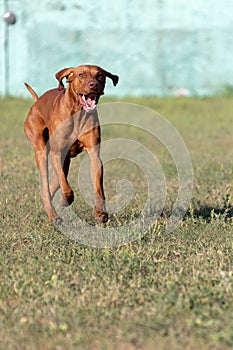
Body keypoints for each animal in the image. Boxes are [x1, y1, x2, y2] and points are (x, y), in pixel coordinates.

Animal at [24, 65, 118, 224]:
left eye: (100, 75)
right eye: (81, 75)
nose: (94, 85)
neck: (78, 113)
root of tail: (36, 102)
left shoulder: (94, 155)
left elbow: (98, 187)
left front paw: (100, 212)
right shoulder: (56, 153)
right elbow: (66, 186)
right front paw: (67, 199)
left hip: (64, 160)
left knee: (53, 184)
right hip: (40, 149)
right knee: (47, 186)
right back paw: (54, 216)